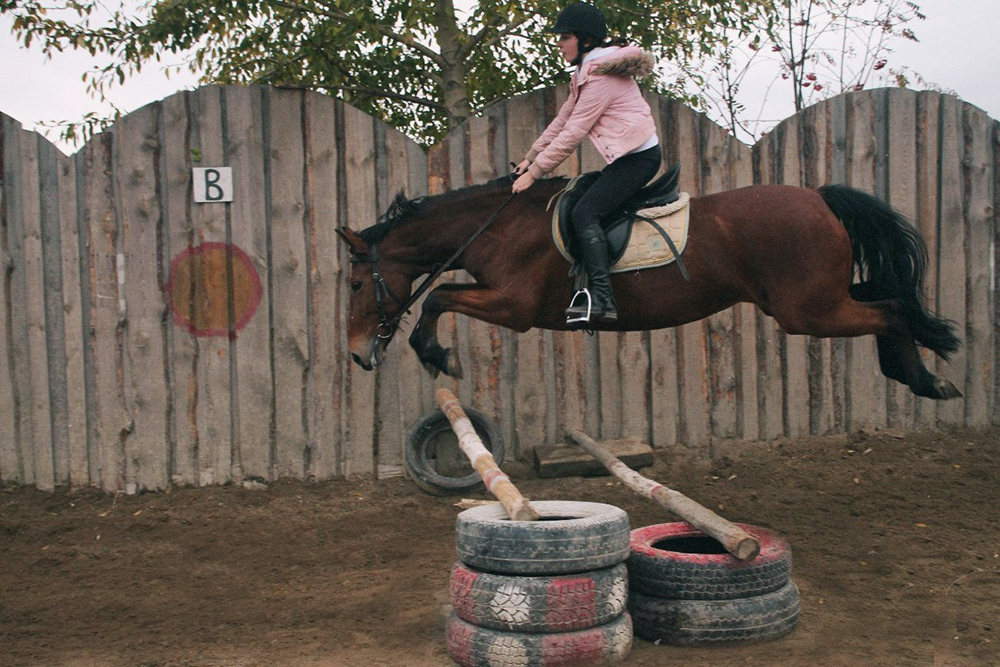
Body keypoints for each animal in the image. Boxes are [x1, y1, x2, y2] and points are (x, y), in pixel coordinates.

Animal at [336, 174, 960, 402]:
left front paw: (437, 355)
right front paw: (435, 353)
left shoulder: (513, 307)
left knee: (890, 309)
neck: (498, 227)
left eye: (357, 282)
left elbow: (439, 296)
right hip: (816, 303)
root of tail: (820, 199)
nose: (357, 355)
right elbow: (440, 296)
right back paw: (919, 375)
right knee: (889, 300)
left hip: (808, 310)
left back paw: (923, 380)